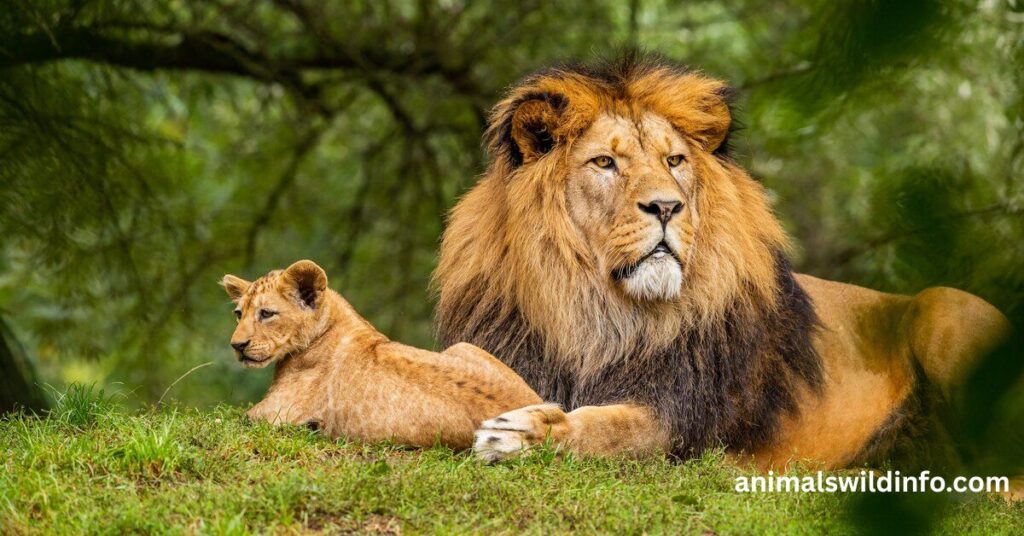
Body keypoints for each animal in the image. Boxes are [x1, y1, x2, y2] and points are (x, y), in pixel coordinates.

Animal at [220, 259, 541, 447]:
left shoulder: (273, 413)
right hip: (462, 345)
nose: (237, 345)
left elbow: (228, 420)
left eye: (266, 314)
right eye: (238, 314)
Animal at [432, 52, 1013, 470]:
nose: (667, 206)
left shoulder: (681, 418)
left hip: (944, 308)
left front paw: (522, 434)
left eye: (674, 161)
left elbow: (607, 428)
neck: (597, 311)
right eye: (605, 163)